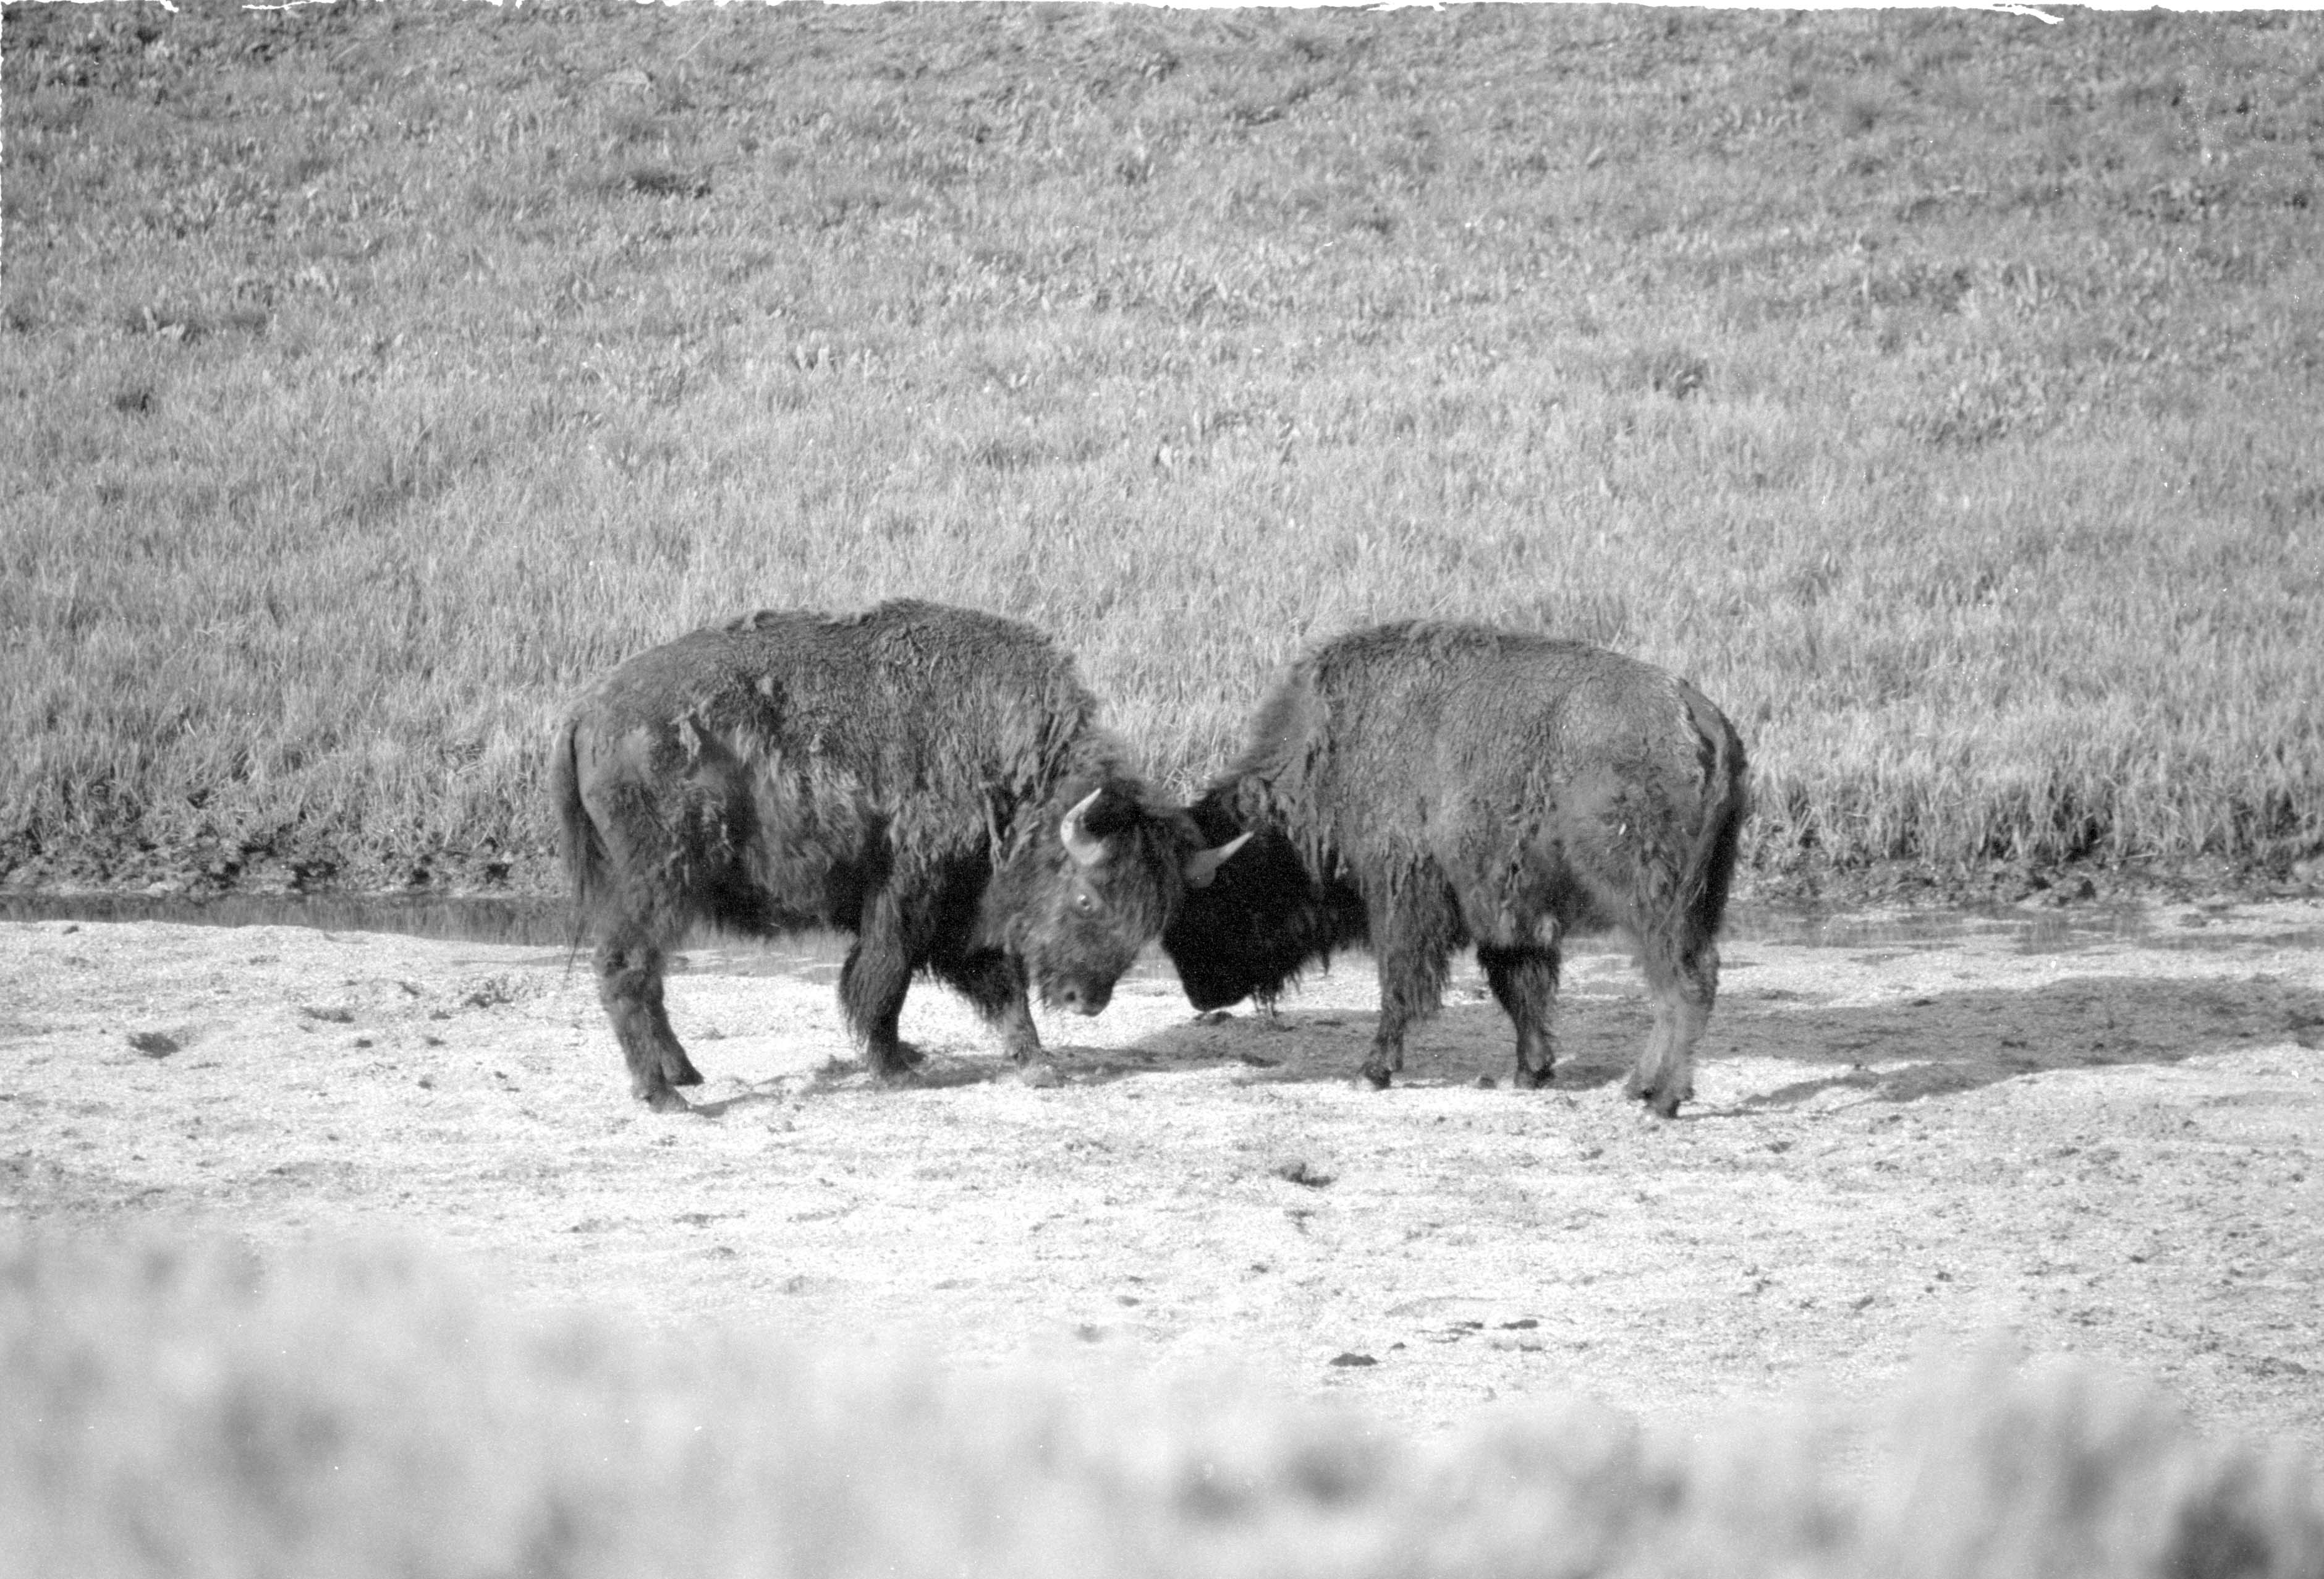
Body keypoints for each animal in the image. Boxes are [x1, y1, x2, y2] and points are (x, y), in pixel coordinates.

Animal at [553, 600, 1246, 1108]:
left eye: (1151, 920)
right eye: (1085, 896)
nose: (1087, 999)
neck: (1013, 779)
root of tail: (587, 709)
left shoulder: (967, 912)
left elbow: (1002, 987)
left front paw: (1036, 1061)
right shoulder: (907, 901)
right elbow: (885, 981)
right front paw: (895, 1067)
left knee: (648, 977)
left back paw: (684, 1073)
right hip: (656, 884)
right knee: (628, 971)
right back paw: (663, 1094)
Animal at [1162, 622, 1748, 1116]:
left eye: (1217, 899)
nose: (1199, 993)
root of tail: (1698, 713)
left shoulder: (1403, 895)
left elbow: (1400, 984)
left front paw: (1372, 1071)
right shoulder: (1506, 908)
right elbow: (1521, 989)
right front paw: (1531, 1071)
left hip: (1646, 897)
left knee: (1685, 983)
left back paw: (1661, 1101)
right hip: (1694, 898)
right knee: (1673, 988)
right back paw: (1639, 1087)